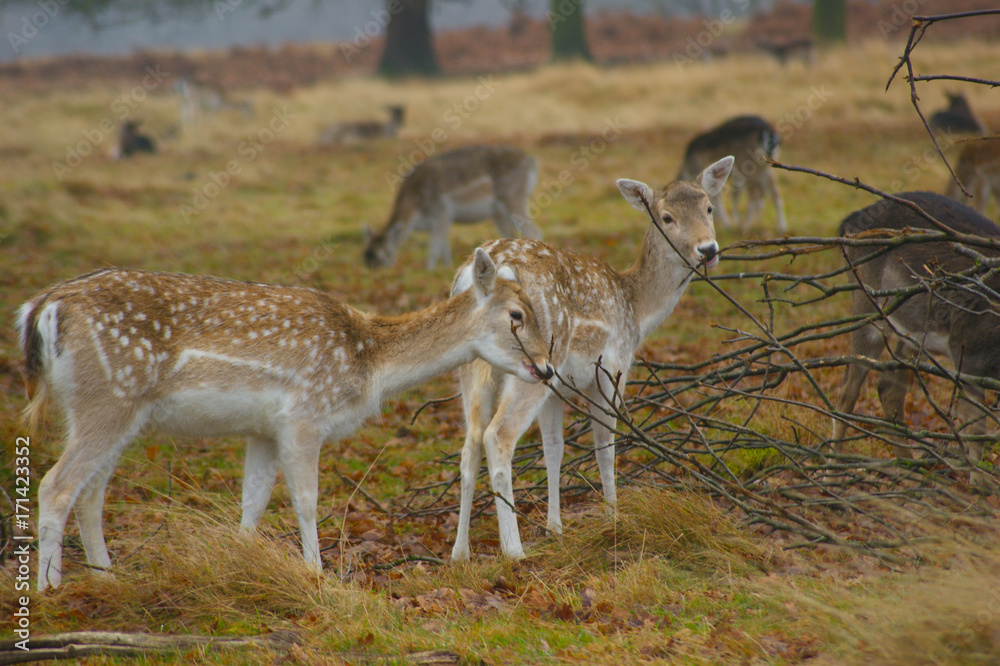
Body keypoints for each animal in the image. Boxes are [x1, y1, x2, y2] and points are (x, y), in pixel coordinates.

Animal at [17, 254, 554, 591]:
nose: (547, 368)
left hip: (113, 410)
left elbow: (252, 504)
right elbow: (307, 501)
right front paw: (317, 574)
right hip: (107, 399)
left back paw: (107, 578)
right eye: (516, 314)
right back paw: (49, 589)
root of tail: (40, 310)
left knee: (90, 493)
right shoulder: (304, 416)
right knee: (55, 486)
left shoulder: (264, 430)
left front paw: (240, 564)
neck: (368, 365)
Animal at [363, 145, 543, 270]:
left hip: (514, 197)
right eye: (365, 254)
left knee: (534, 231)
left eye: (381, 255)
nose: (373, 272)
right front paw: (448, 268)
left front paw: (429, 271)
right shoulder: (444, 220)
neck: (415, 211)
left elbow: (434, 248)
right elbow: (444, 247)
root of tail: (531, 161)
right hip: (498, 212)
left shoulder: (442, 211)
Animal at [449, 156, 734, 561]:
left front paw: (555, 528)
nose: (707, 249)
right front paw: (614, 518)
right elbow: (605, 445)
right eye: (666, 217)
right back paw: (514, 550)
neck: (636, 309)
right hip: (533, 362)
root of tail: (482, 275)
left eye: (708, 207)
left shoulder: (556, 388)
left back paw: (460, 553)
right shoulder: (612, 370)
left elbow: (554, 447)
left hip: (474, 369)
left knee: (470, 443)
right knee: (498, 436)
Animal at [831, 191, 1000, 491]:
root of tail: (847, 224)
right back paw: (832, 469)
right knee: (848, 388)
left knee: (888, 387)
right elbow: (976, 426)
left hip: (909, 333)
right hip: (867, 303)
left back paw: (909, 468)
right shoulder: (967, 348)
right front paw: (980, 484)